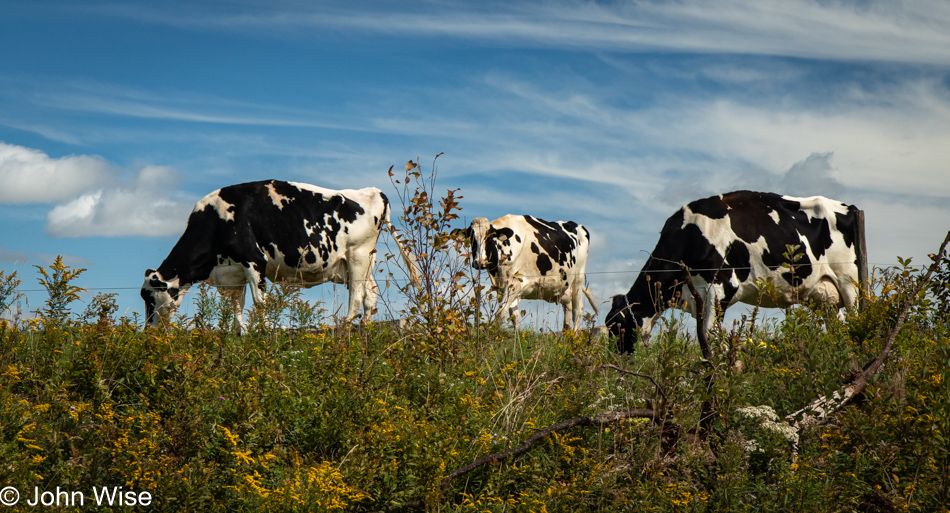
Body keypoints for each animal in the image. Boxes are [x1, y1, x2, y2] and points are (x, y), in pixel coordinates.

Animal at [142, 178, 420, 326]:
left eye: (149, 298)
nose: (149, 331)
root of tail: (373, 190)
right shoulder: (232, 274)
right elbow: (235, 309)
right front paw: (240, 334)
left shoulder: (253, 260)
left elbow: (259, 303)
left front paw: (263, 333)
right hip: (356, 261)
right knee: (370, 293)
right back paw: (364, 327)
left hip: (358, 254)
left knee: (357, 295)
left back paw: (344, 327)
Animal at [458, 214, 600, 330]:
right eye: (471, 238)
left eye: (489, 238)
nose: (479, 262)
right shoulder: (505, 286)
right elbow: (514, 317)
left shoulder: (513, 285)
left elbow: (500, 314)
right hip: (565, 286)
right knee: (568, 309)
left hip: (578, 278)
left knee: (577, 310)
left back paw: (573, 340)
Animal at [608, 191, 864, 352]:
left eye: (616, 327)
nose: (616, 359)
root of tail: (849, 207)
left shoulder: (721, 287)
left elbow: (710, 336)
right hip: (824, 296)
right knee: (837, 329)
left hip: (850, 283)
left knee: (857, 319)